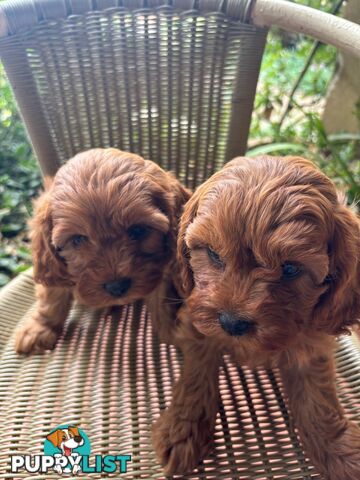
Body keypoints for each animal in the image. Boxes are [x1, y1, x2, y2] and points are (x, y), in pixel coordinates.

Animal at [15, 148, 191, 354]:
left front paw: (172, 332)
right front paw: (39, 329)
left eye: (139, 230)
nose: (117, 287)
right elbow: (52, 299)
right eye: (78, 239)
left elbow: (162, 303)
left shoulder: (162, 270)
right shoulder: (56, 268)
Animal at [153, 156, 360, 478]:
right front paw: (182, 431)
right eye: (213, 254)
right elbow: (196, 376)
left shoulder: (313, 341)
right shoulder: (198, 326)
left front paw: (340, 451)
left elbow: (318, 398)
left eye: (290, 268)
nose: (232, 323)